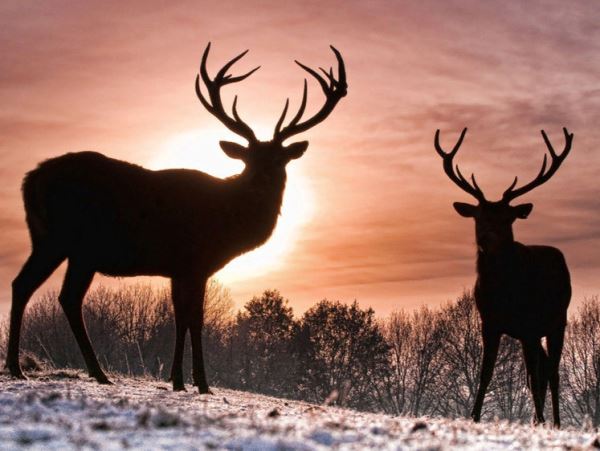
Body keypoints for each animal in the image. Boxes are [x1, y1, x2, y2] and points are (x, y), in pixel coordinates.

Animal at [5, 44, 346, 394]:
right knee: (63, 295)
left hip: (49, 239)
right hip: (73, 243)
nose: (260, 180)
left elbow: (179, 316)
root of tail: (30, 178)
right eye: (248, 159)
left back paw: (25, 368)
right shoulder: (196, 261)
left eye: (279, 160)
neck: (228, 224)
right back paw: (85, 372)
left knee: (27, 285)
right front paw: (199, 382)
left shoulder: (178, 268)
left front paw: (176, 379)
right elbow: (194, 318)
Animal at [436, 126, 572, 428]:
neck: (504, 293)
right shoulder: (490, 322)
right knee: (543, 370)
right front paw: (473, 417)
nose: (486, 238)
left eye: (507, 219)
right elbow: (485, 372)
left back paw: (554, 421)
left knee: (551, 372)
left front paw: (542, 420)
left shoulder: (531, 324)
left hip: (558, 321)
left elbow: (533, 376)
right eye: (478, 216)